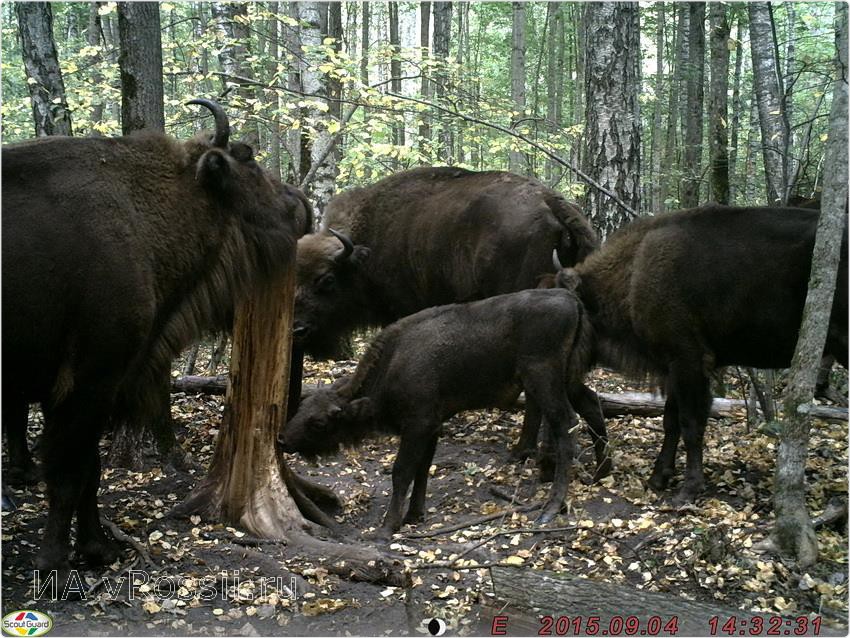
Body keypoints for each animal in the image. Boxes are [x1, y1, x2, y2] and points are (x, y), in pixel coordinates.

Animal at [1, 100, 314, 596]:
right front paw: (56, 565)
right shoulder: (90, 382)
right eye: (247, 159)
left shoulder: (90, 389)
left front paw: (98, 548)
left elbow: (89, 471)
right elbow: (70, 472)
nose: (300, 203)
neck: (145, 209)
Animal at [274, 288, 600, 536]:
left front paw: (387, 527)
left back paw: (550, 509)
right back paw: (601, 470)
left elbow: (402, 471)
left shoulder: (418, 425)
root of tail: (569, 298)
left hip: (543, 379)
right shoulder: (431, 426)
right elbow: (422, 469)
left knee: (565, 425)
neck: (394, 363)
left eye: (320, 422)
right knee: (591, 404)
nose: (282, 440)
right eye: (301, 407)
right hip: (567, 378)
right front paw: (414, 515)